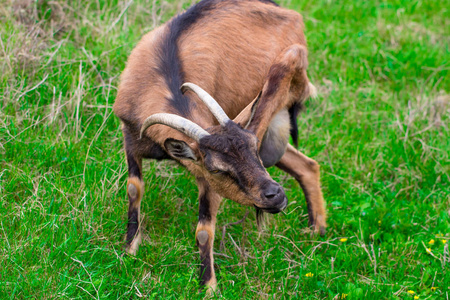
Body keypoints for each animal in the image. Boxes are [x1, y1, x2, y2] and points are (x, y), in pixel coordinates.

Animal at [111, 0, 326, 290]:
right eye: (217, 168)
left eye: (253, 147)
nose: (275, 194)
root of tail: (290, 15)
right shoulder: (132, 139)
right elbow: (134, 189)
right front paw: (130, 249)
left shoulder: (207, 181)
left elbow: (204, 231)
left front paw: (208, 286)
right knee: (307, 165)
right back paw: (316, 231)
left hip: (282, 80)